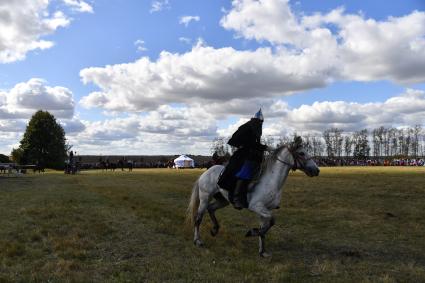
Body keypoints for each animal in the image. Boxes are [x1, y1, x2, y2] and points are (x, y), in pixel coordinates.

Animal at [185, 136, 318, 258]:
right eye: (301, 153)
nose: (316, 170)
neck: (271, 181)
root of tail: (206, 173)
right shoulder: (257, 207)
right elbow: (271, 221)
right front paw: (252, 233)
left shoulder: (265, 210)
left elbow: (265, 228)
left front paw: (262, 251)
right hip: (204, 198)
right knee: (198, 219)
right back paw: (198, 241)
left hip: (223, 200)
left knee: (211, 208)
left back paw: (215, 229)